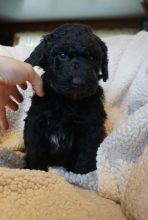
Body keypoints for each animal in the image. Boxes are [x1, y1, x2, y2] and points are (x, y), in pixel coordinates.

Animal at [23, 23, 108, 173]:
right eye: (62, 55)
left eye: (92, 58)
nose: (79, 82)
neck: (68, 101)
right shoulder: (35, 122)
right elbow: (34, 148)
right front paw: (35, 169)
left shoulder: (92, 126)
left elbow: (88, 150)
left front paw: (84, 173)